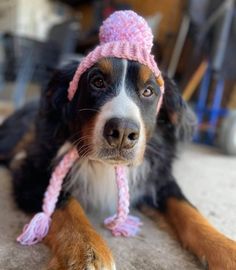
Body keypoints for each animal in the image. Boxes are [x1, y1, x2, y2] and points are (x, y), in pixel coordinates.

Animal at [0, 56, 236, 268]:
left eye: (148, 91)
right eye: (97, 82)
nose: (122, 132)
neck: (106, 166)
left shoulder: (159, 178)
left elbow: (187, 210)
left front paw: (226, 249)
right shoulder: (33, 173)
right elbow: (66, 206)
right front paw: (88, 252)